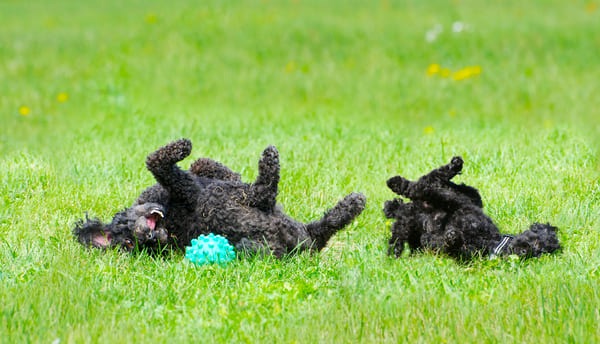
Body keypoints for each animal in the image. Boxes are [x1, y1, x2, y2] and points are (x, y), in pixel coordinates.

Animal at [75, 138, 366, 256]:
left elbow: (204, 164)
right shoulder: (189, 187)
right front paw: (183, 145)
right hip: (233, 206)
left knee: (323, 227)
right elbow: (155, 160)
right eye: (129, 244)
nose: (147, 236)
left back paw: (350, 205)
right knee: (265, 190)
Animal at [386, 157, 560, 260]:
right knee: (428, 181)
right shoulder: (460, 205)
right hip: (469, 194)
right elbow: (427, 189)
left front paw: (452, 237)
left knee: (399, 232)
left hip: (406, 224)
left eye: (539, 253)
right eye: (536, 243)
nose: (526, 252)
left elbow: (445, 243)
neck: (492, 241)